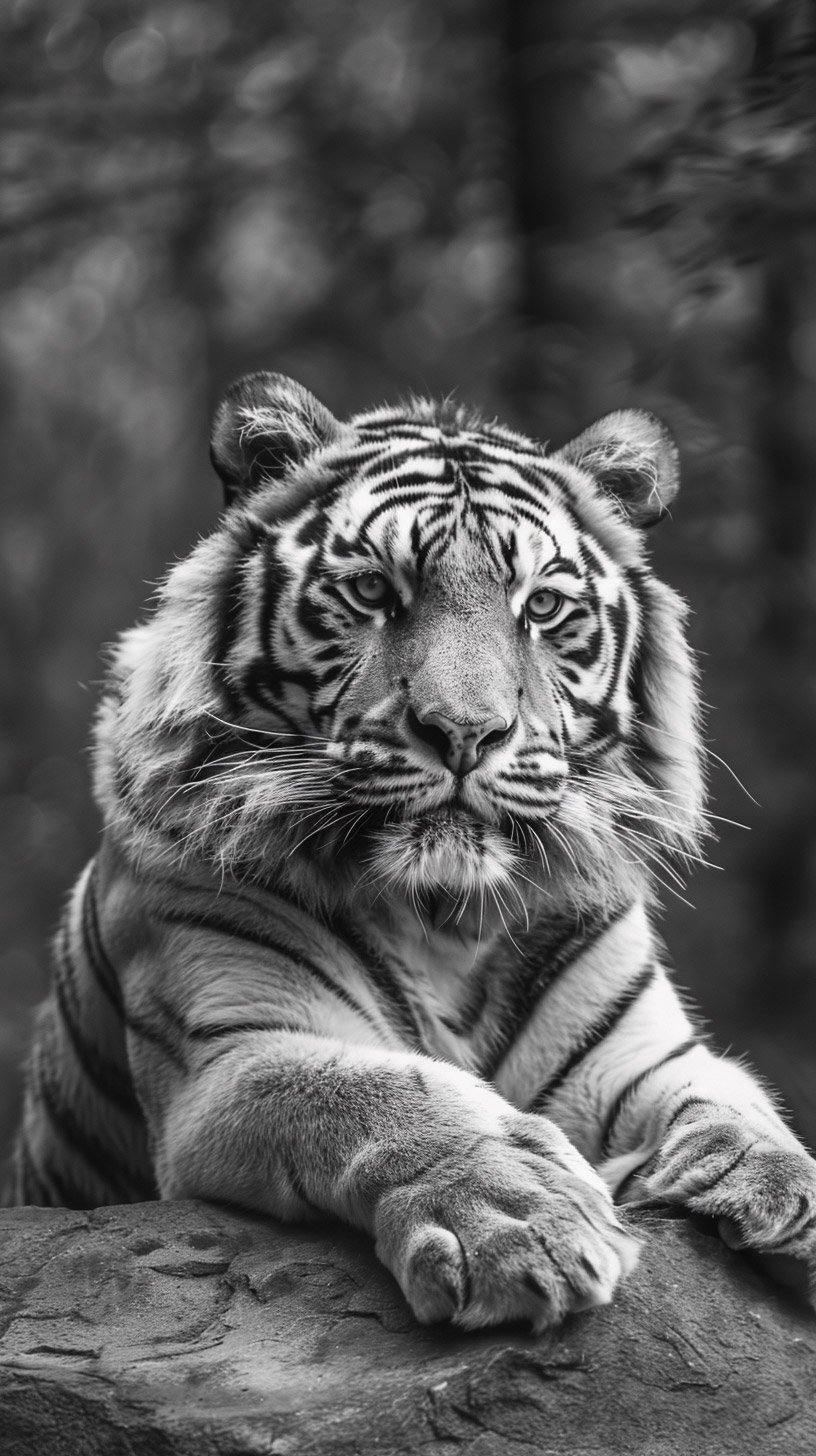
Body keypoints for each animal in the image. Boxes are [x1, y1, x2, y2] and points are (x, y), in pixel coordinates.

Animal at [8, 370, 816, 1333]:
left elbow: (733, 1097)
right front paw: (517, 1223)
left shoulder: (638, 1055)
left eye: (543, 606)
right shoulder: (240, 1051)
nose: (465, 732)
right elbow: (393, 1096)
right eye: (369, 592)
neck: (446, 919)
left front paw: (774, 1187)